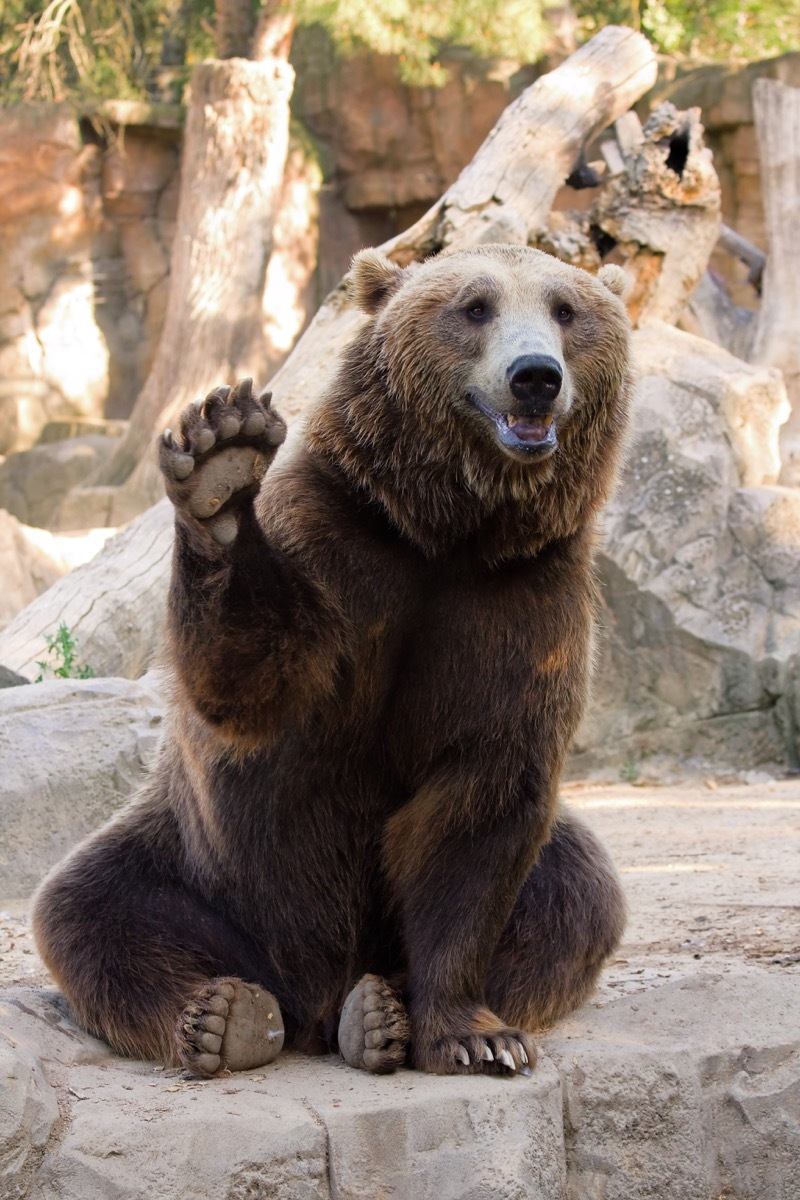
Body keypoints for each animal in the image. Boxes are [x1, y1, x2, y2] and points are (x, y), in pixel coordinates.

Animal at [31, 241, 633, 1080]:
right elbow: (252, 681)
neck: (450, 532)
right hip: (197, 863)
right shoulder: (339, 545)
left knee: (577, 898)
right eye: (475, 306)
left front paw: (475, 1035)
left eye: (566, 310)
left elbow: (483, 807)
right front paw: (221, 466)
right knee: (89, 908)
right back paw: (224, 1018)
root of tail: (309, 1000)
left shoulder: (524, 600)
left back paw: (377, 1011)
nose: (535, 375)